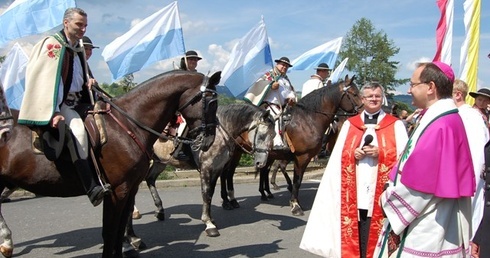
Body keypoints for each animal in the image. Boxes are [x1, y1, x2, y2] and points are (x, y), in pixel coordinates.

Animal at [0, 70, 220, 258]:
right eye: (210, 102)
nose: (210, 140)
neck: (128, 124)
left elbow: (120, 228)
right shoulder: (117, 191)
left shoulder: (130, 188)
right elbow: (110, 231)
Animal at [220, 76, 362, 216]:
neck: (308, 120)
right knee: (226, 173)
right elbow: (297, 181)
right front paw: (295, 205)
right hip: (235, 152)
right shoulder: (301, 157)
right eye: (354, 94)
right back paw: (228, 201)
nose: (363, 109)